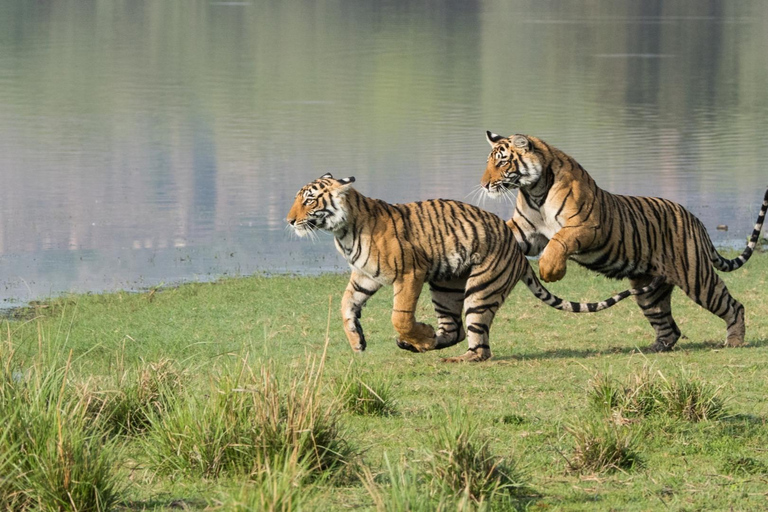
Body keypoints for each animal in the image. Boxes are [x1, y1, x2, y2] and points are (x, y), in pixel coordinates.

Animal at [287, 174, 662, 362]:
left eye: (309, 199)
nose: (289, 220)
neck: (343, 231)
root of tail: (517, 249)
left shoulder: (410, 272)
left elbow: (400, 316)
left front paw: (411, 332)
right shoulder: (365, 275)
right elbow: (346, 305)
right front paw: (357, 342)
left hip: (480, 289)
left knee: (477, 341)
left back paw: (451, 352)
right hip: (445, 286)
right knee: (453, 330)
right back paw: (424, 343)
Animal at [480, 131, 768, 352]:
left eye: (502, 163)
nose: (484, 184)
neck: (535, 190)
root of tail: (695, 220)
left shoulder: (587, 226)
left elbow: (559, 240)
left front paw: (551, 271)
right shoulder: (526, 231)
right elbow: (508, 232)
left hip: (697, 277)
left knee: (733, 306)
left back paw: (734, 341)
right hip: (650, 292)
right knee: (668, 327)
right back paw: (655, 348)